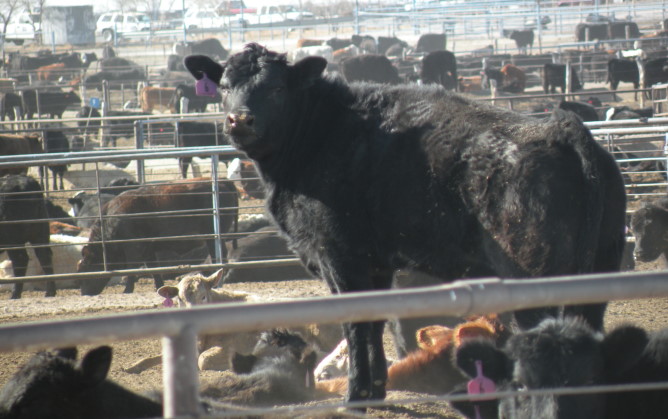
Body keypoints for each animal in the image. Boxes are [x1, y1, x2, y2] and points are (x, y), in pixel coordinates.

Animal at [77, 177, 239, 296]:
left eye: (86, 268)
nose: (84, 293)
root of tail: (223, 181)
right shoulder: (148, 249)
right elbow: (153, 268)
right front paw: (159, 286)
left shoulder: (134, 248)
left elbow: (131, 269)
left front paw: (127, 290)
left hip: (213, 238)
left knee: (220, 256)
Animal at [184, 43, 628, 406]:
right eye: (224, 86)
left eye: (276, 89)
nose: (239, 120)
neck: (318, 135)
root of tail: (564, 130)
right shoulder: (377, 263)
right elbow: (377, 320)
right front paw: (375, 389)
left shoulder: (339, 256)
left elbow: (357, 324)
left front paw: (356, 395)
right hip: (598, 276)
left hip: (534, 283)